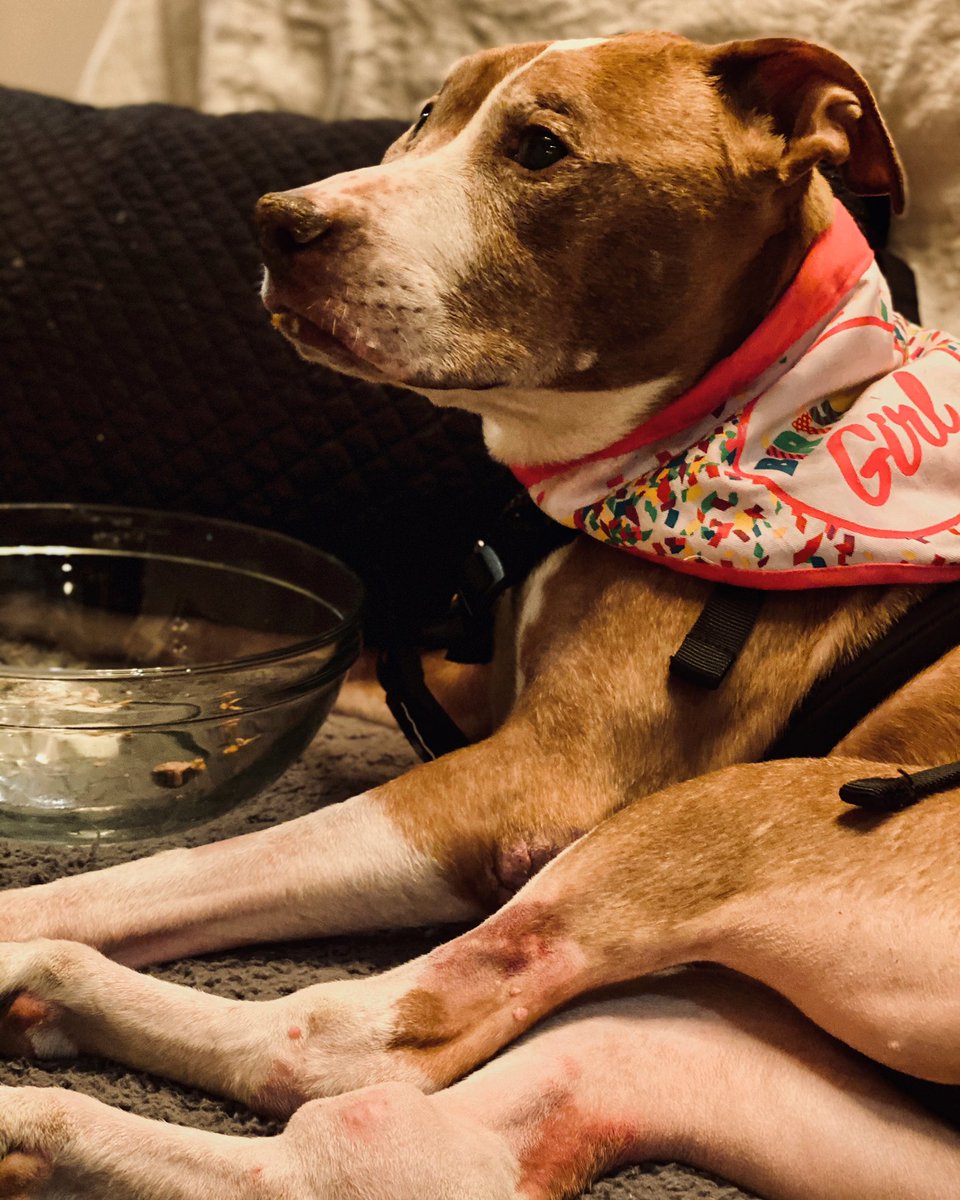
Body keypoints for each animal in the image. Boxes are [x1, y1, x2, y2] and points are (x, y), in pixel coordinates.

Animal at [2, 32, 960, 1200]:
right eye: (426, 114)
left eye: (541, 148)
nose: (281, 221)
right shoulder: (453, 689)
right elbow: (270, 649)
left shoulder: (531, 781)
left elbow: (186, 865)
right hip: (712, 1048)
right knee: (373, 1143)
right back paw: (35, 1112)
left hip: (742, 814)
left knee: (339, 1038)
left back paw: (31, 982)